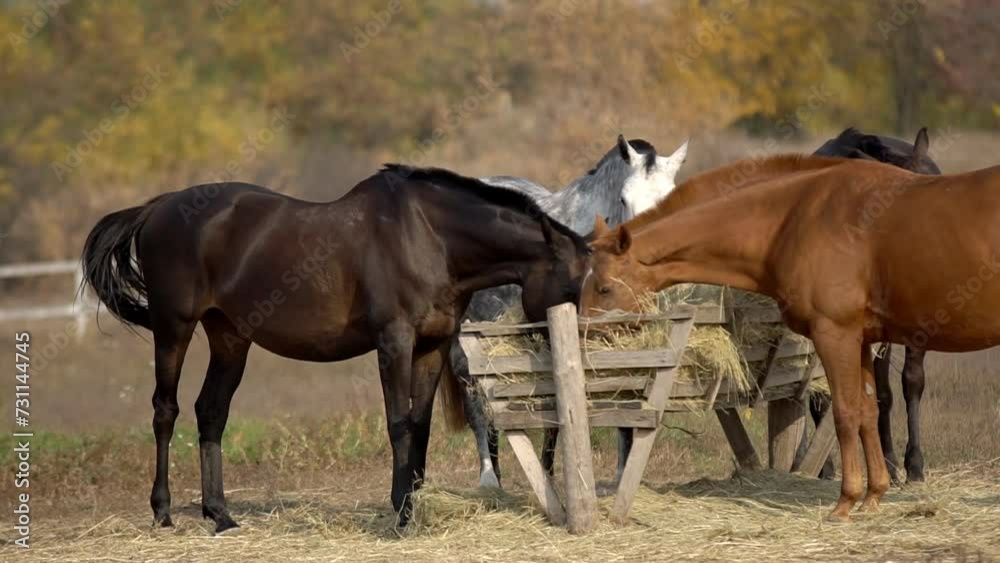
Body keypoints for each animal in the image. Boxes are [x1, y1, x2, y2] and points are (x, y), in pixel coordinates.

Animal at [80, 165, 592, 533]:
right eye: (572, 285)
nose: (572, 344)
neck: (429, 237)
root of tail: (157, 208)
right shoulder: (394, 343)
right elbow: (399, 424)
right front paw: (400, 514)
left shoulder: (432, 346)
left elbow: (421, 426)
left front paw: (415, 505)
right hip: (174, 329)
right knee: (165, 411)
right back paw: (163, 512)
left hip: (230, 338)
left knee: (211, 412)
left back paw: (220, 515)